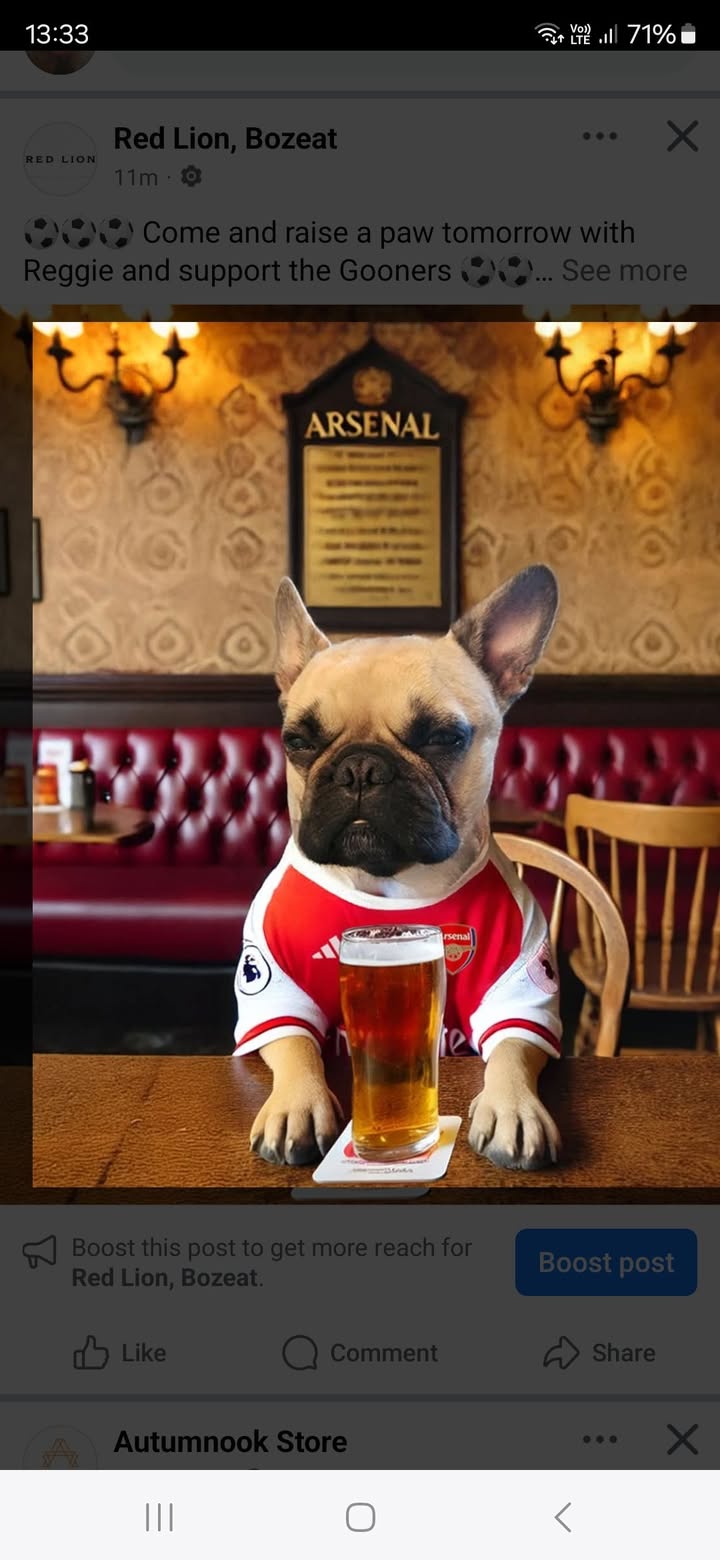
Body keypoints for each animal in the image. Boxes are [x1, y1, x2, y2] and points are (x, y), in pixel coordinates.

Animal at [234, 564, 563, 1171]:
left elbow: (513, 1049)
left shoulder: (522, 986)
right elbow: (294, 1045)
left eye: (442, 737)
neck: (391, 884)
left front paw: (512, 1108)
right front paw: (296, 1105)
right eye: (299, 741)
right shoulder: (270, 982)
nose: (360, 767)